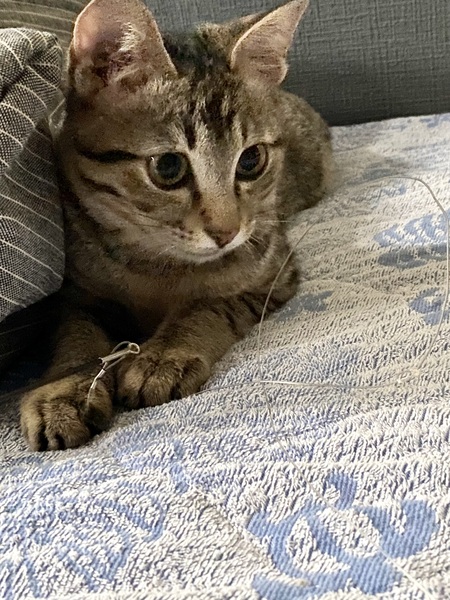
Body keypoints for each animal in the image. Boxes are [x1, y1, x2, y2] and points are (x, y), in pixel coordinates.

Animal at [20, 0, 332, 451]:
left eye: (251, 160)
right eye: (168, 167)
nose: (226, 232)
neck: (155, 262)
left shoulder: (273, 271)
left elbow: (208, 304)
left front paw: (164, 355)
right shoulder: (75, 293)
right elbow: (73, 336)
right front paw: (62, 391)